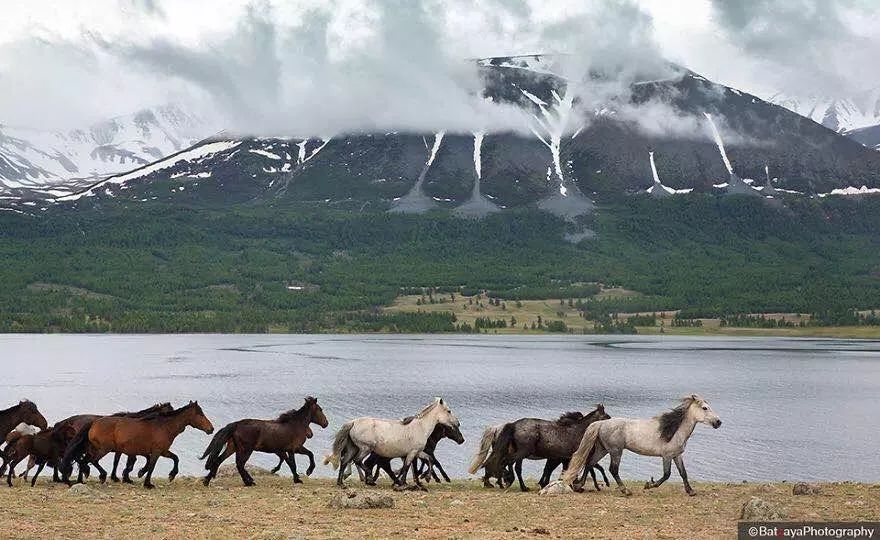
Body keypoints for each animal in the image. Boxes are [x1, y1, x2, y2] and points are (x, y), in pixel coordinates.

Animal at [62, 398, 215, 488]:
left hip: (95, 449)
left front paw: (171, 475)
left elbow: (175, 458)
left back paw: (82, 479)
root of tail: (93, 423)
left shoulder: (161, 451)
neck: (164, 426)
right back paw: (100, 476)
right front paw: (147, 482)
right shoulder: (155, 452)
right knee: (90, 461)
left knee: (84, 461)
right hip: (103, 449)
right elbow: (151, 466)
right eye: (200, 414)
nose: (211, 429)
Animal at [324, 394, 460, 492]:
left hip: (354, 448)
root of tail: (352, 422)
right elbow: (407, 467)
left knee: (344, 461)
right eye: (449, 411)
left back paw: (341, 483)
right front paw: (403, 484)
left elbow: (428, 460)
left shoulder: (418, 452)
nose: (458, 423)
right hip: (365, 448)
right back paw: (370, 478)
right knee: (359, 461)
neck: (421, 428)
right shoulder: (412, 453)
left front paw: (424, 479)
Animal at [482, 404, 612, 494]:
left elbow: (564, 471)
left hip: (520, 452)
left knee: (513, 465)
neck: (579, 431)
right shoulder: (570, 457)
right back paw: (509, 480)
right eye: (607, 417)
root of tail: (514, 425)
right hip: (522, 452)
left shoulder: (564, 458)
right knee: (508, 462)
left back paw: (517, 484)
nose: (611, 424)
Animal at [560, 394, 720, 496]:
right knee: (613, 469)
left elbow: (683, 473)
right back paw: (625, 491)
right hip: (616, 451)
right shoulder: (667, 456)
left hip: (603, 449)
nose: (718, 422)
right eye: (705, 408)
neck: (674, 431)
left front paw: (691, 491)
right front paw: (649, 485)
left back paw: (578, 486)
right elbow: (666, 474)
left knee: (589, 463)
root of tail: (601, 423)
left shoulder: (677, 455)